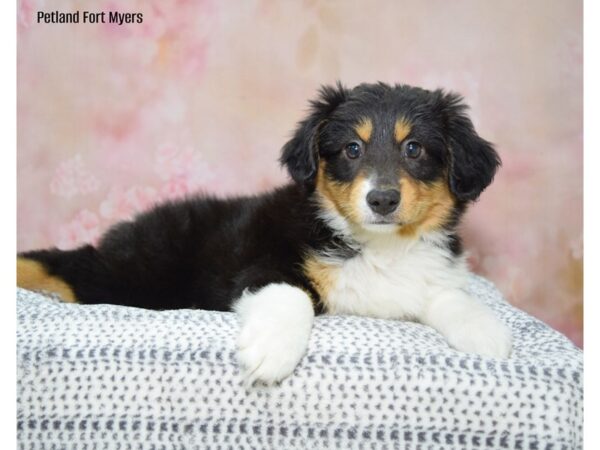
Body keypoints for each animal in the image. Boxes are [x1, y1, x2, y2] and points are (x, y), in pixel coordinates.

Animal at [16, 82, 510, 384]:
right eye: (352, 149)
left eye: (415, 149)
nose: (382, 200)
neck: (379, 246)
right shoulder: (261, 264)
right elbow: (290, 295)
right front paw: (271, 352)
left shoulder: (428, 276)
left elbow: (449, 295)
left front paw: (487, 331)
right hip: (138, 275)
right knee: (69, 264)